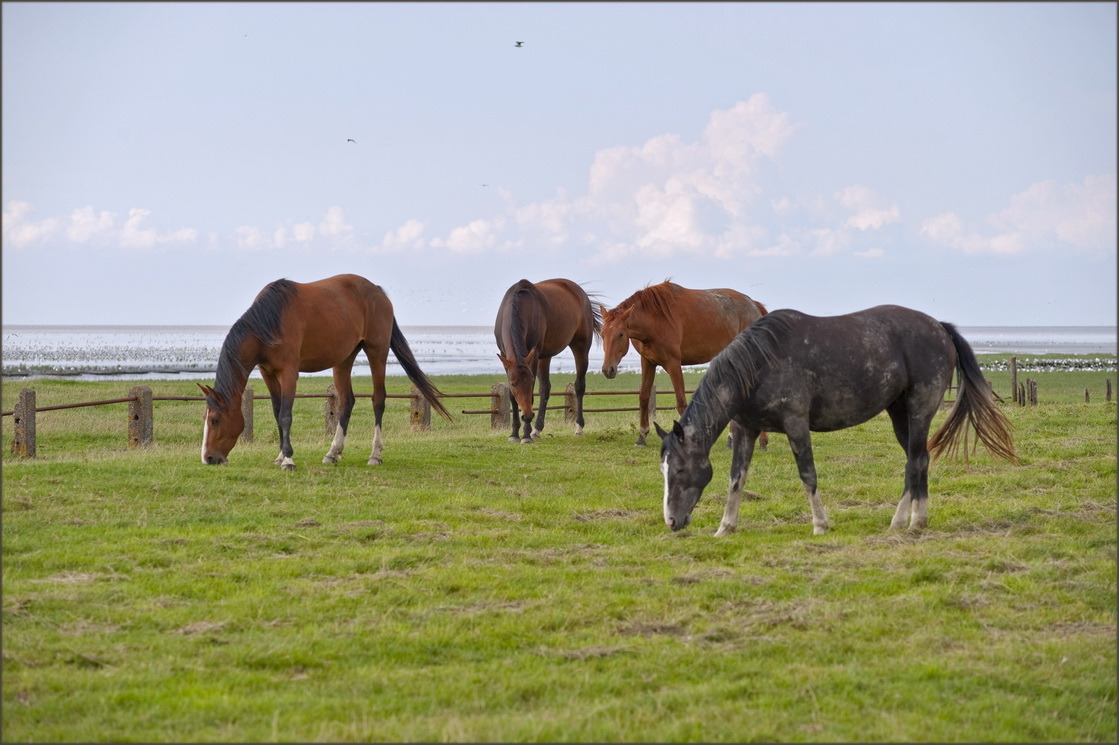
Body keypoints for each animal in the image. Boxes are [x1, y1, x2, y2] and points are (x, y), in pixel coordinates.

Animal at [201, 272, 449, 469]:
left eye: (215, 420)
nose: (208, 458)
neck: (270, 321)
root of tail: (378, 291)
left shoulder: (289, 373)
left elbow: (285, 415)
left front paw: (288, 460)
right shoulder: (268, 373)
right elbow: (276, 411)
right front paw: (280, 456)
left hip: (376, 352)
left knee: (378, 400)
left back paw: (375, 455)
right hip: (344, 359)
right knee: (346, 402)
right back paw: (333, 453)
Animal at [496, 277, 604, 440]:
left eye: (530, 383)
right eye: (514, 384)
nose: (527, 415)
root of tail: (580, 292)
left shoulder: (533, 357)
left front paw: (526, 434)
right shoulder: (506, 357)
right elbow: (512, 396)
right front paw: (514, 433)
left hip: (581, 347)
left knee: (579, 386)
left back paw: (578, 427)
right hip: (545, 357)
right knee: (545, 389)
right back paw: (537, 429)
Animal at [604, 278, 769, 440]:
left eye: (621, 334)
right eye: (602, 333)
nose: (607, 369)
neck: (655, 318)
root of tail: (753, 304)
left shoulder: (673, 363)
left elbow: (682, 403)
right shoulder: (647, 362)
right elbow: (644, 397)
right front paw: (642, 435)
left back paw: (762, 440)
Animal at [657, 302, 1020, 534]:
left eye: (679, 470)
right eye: (664, 470)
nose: (672, 522)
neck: (759, 364)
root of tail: (940, 328)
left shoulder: (795, 425)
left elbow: (808, 474)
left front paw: (820, 524)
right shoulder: (745, 429)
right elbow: (736, 479)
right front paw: (726, 527)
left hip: (919, 410)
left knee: (914, 462)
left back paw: (899, 522)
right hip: (899, 413)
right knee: (921, 459)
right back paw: (919, 520)